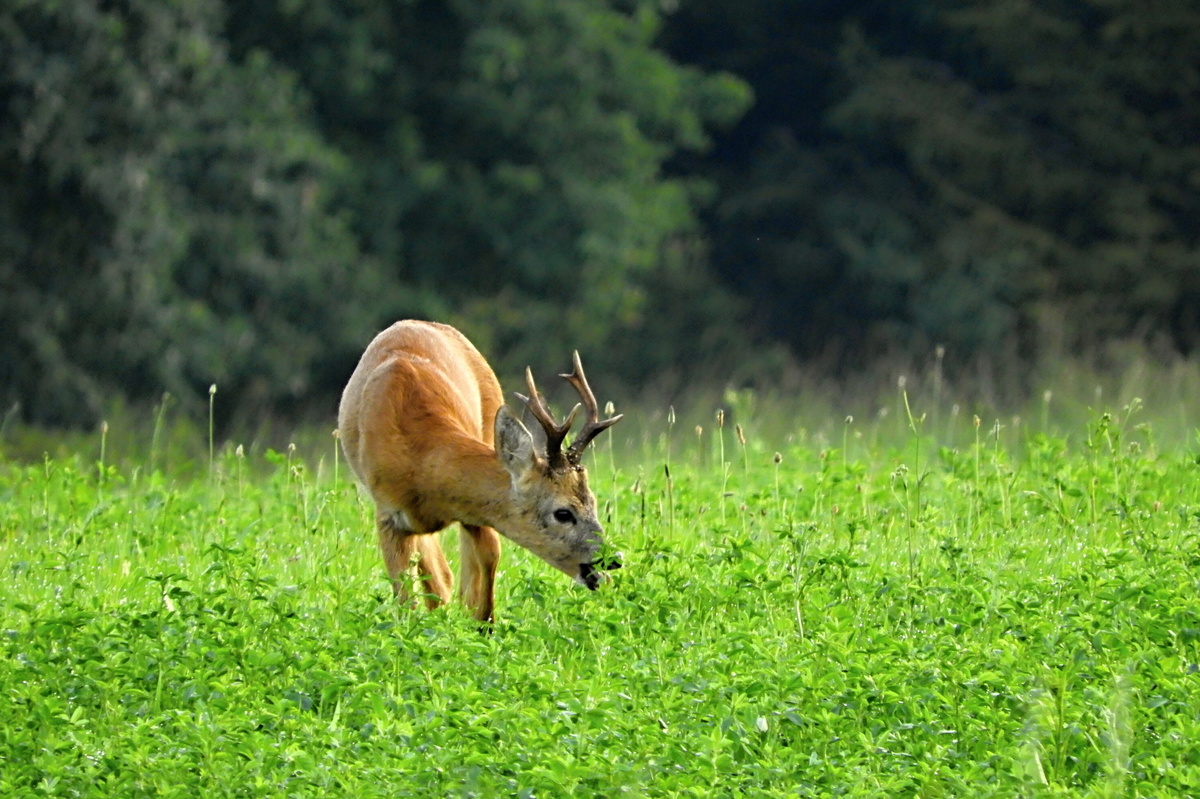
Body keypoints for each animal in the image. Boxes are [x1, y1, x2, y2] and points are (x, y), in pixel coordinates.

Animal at [336, 319, 624, 623]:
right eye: (563, 513)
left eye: (593, 501)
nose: (612, 558)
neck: (421, 461)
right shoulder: (388, 515)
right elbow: (405, 598)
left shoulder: (473, 513)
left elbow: (488, 559)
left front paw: (480, 623)